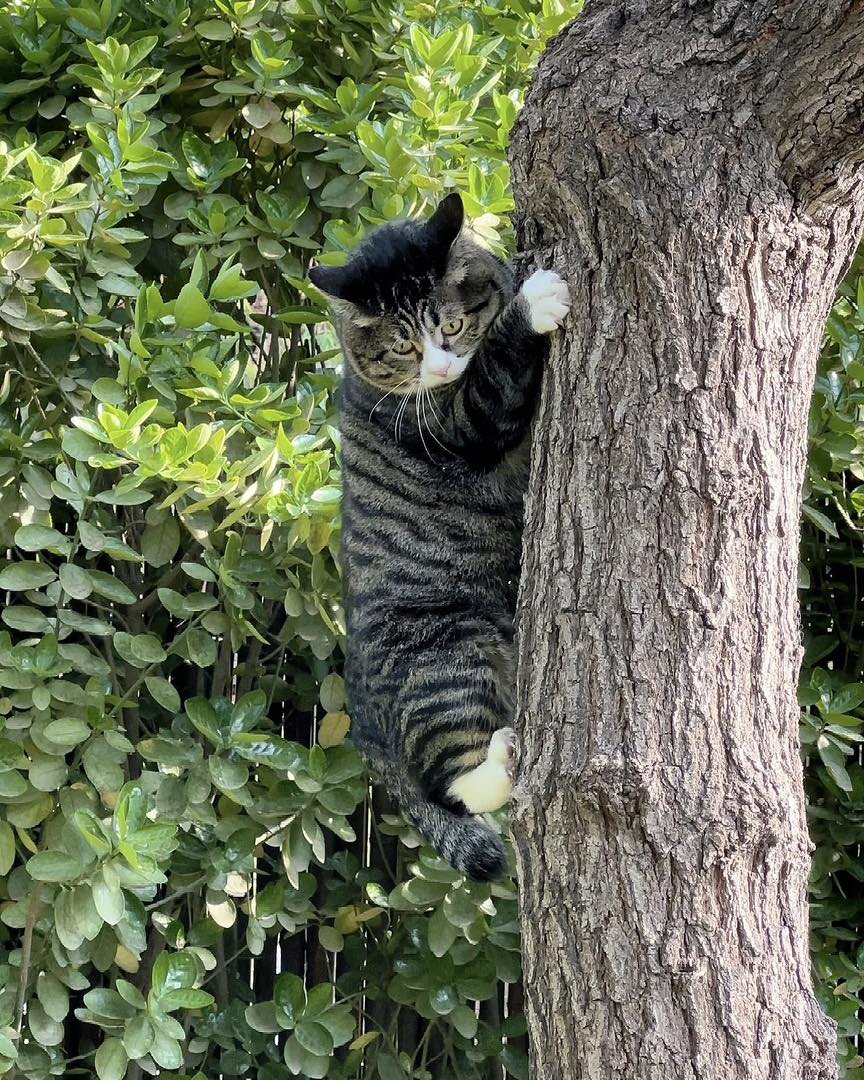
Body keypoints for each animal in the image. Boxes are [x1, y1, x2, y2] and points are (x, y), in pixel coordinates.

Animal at [308, 194, 565, 881]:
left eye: (449, 325)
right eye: (401, 346)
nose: (443, 363)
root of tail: (365, 727)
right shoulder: (451, 423)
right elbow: (492, 385)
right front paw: (535, 301)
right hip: (444, 657)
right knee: (453, 780)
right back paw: (499, 763)